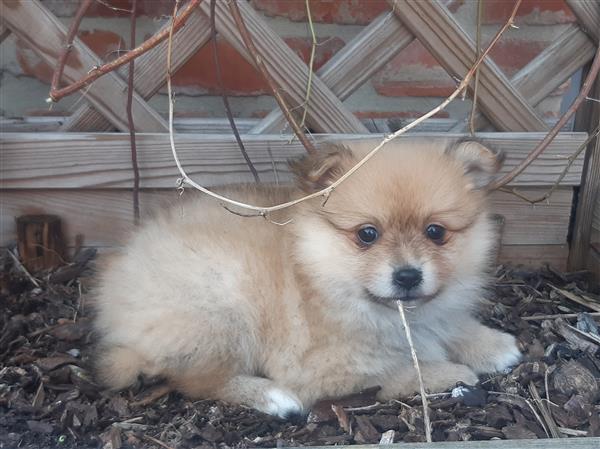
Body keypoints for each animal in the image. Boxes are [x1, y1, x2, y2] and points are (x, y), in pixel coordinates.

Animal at [92, 136, 520, 416]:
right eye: (368, 234)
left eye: (436, 232)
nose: (408, 276)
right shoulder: (319, 369)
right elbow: (396, 371)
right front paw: (450, 373)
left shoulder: (434, 314)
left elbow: (452, 324)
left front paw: (491, 344)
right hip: (222, 305)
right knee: (197, 381)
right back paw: (271, 397)